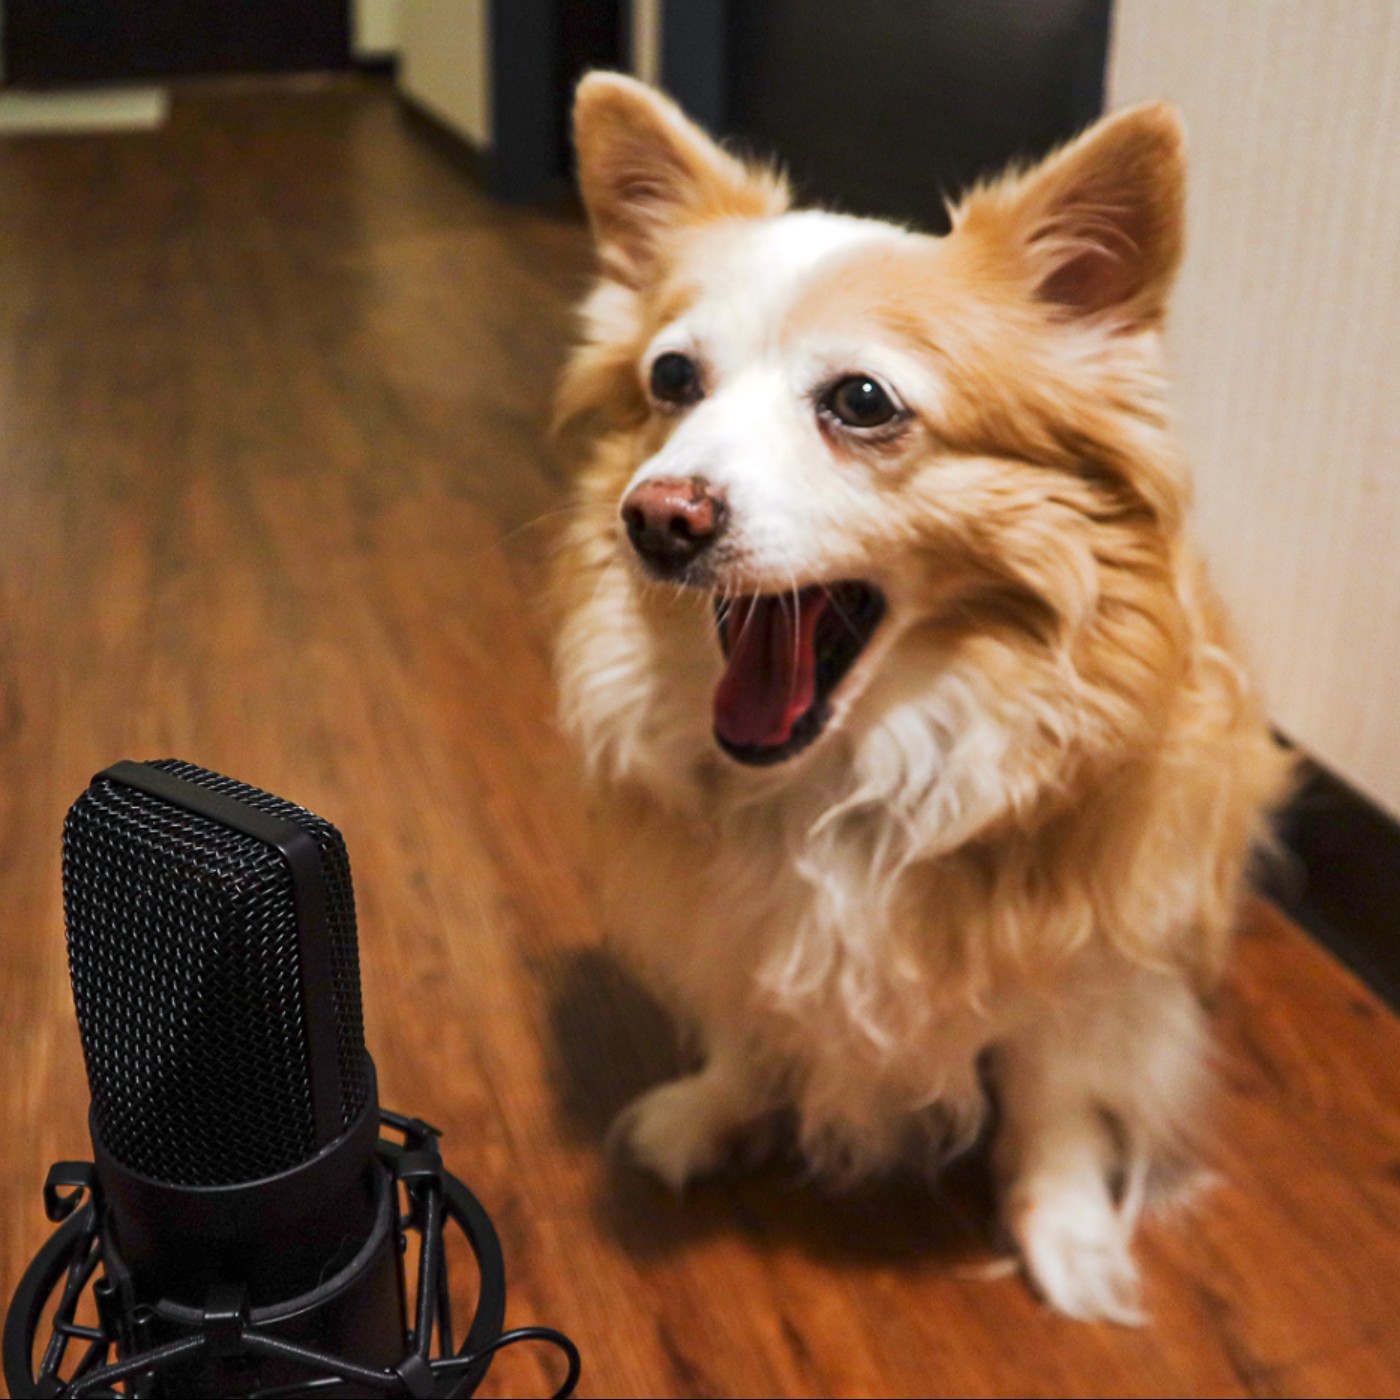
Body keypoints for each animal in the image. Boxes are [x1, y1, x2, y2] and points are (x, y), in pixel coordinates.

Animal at [548, 76, 1288, 1321]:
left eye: (860, 400)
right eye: (670, 381)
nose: (655, 516)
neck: (844, 771)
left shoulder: (1085, 961)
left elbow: (1051, 1094)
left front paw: (1065, 1236)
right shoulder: (732, 919)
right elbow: (749, 1020)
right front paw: (711, 1108)